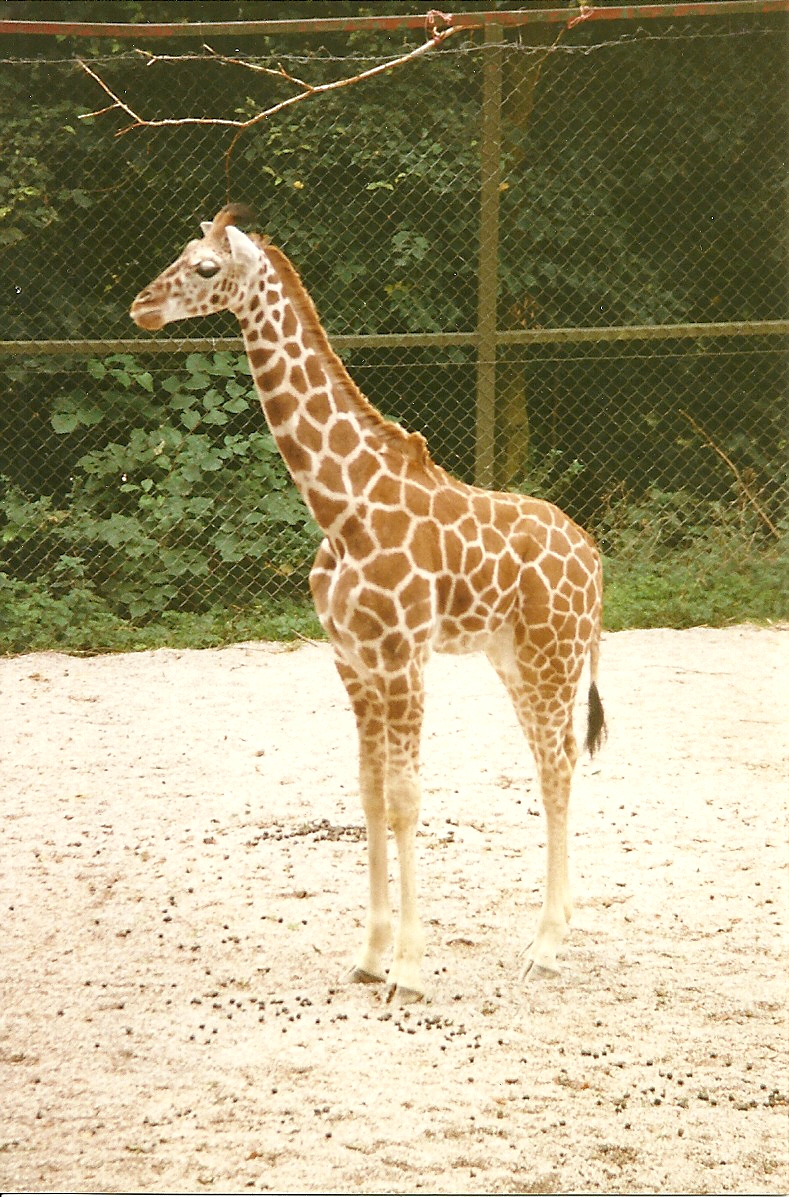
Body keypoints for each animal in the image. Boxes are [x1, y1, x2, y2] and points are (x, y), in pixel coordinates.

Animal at [131, 204, 606, 1003]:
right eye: (181, 253)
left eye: (204, 267)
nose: (141, 306)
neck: (339, 508)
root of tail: (595, 557)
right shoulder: (351, 659)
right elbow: (370, 794)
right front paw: (370, 954)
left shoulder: (403, 655)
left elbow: (408, 799)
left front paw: (409, 970)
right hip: (513, 657)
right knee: (557, 762)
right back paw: (551, 934)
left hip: (553, 654)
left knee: (556, 767)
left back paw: (543, 946)